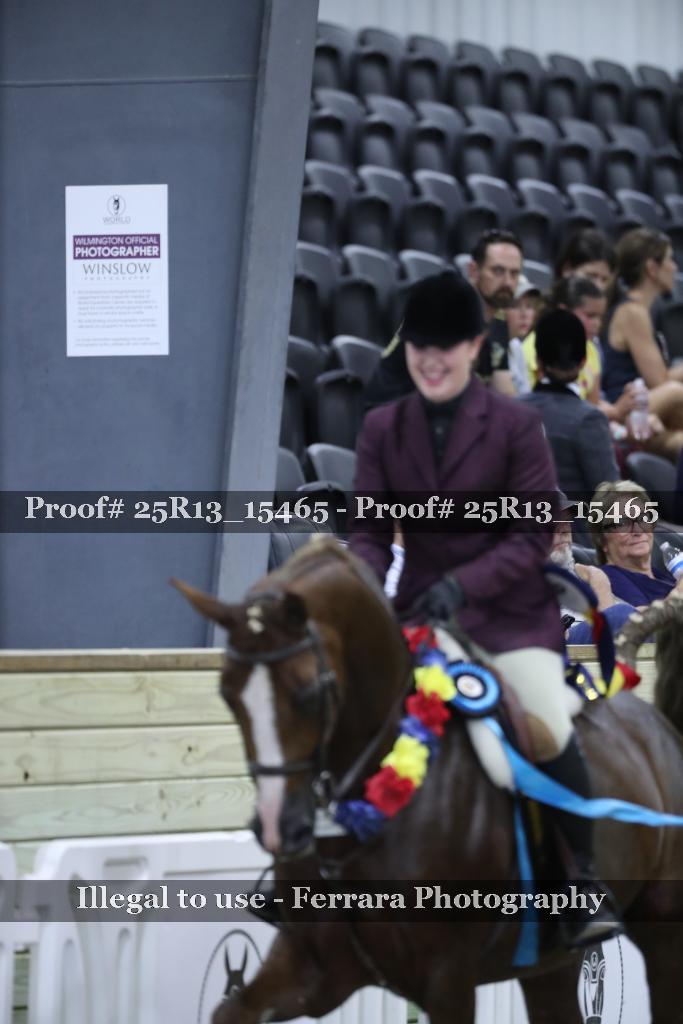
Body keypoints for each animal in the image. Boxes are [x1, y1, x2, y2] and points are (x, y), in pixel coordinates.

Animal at [175, 537, 683, 1024]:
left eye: (310, 691)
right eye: (227, 692)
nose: (280, 828)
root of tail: (658, 727)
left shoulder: (447, 978)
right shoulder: (311, 969)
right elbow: (230, 1011)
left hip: (662, 929)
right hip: (550, 963)